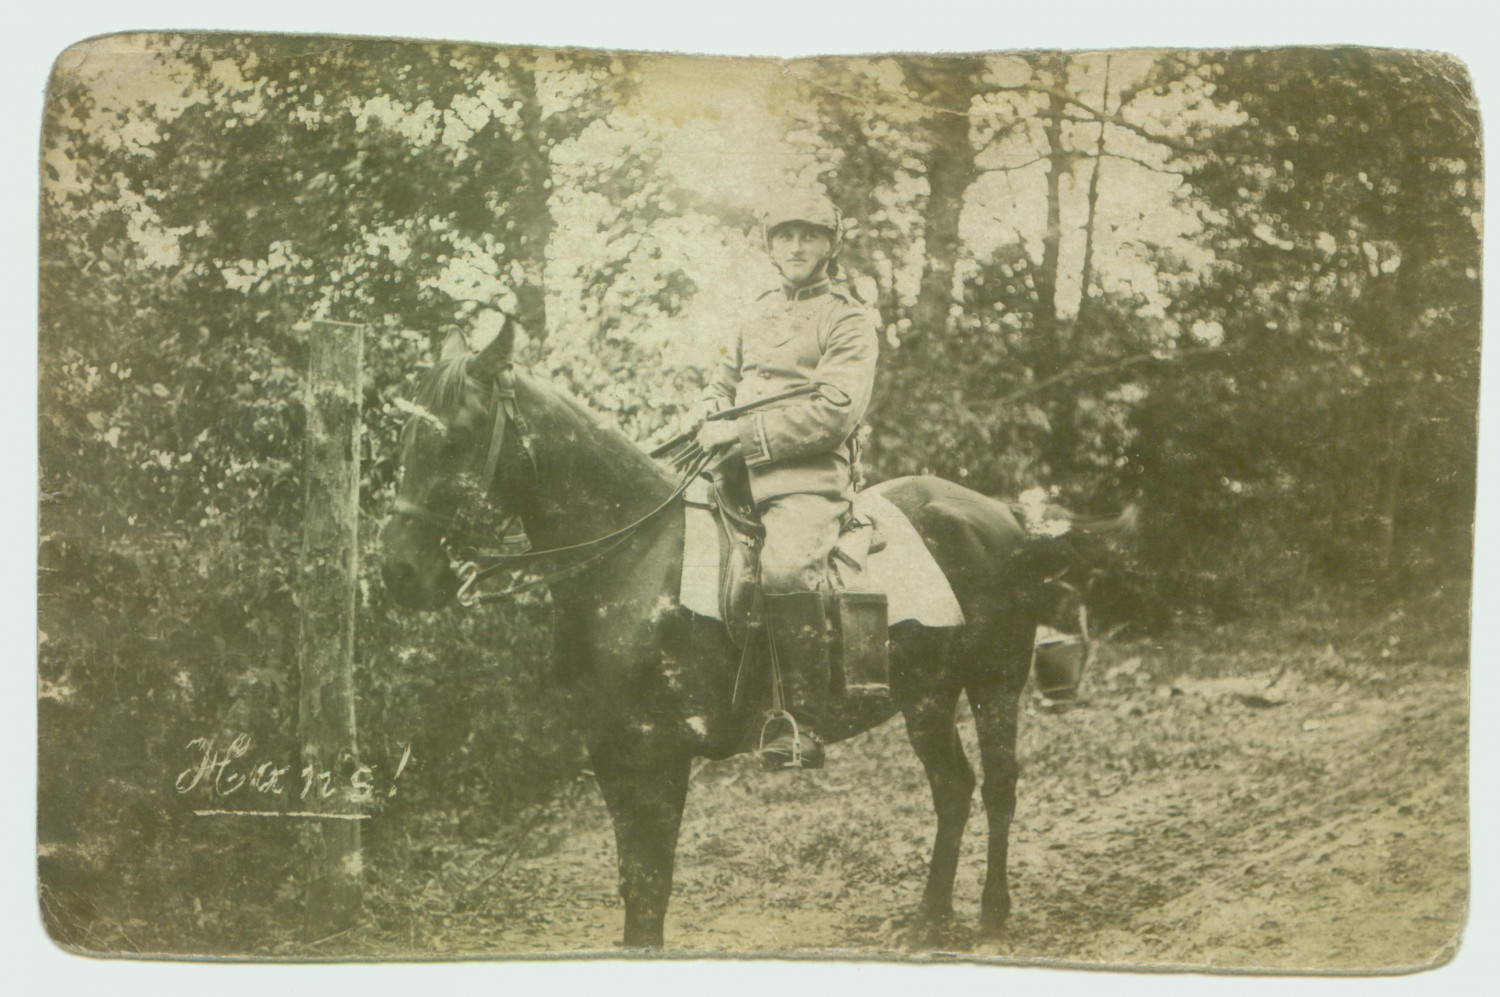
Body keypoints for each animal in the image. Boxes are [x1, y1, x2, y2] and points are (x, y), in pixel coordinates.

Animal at [378, 328, 1134, 947]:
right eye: (406, 439)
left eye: (456, 438)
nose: (400, 573)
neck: (634, 553)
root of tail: (1003, 515)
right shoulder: (611, 750)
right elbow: (632, 884)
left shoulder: (660, 750)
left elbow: (651, 888)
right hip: (926, 695)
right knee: (954, 788)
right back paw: (929, 919)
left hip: (994, 682)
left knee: (1000, 786)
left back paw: (992, 914)